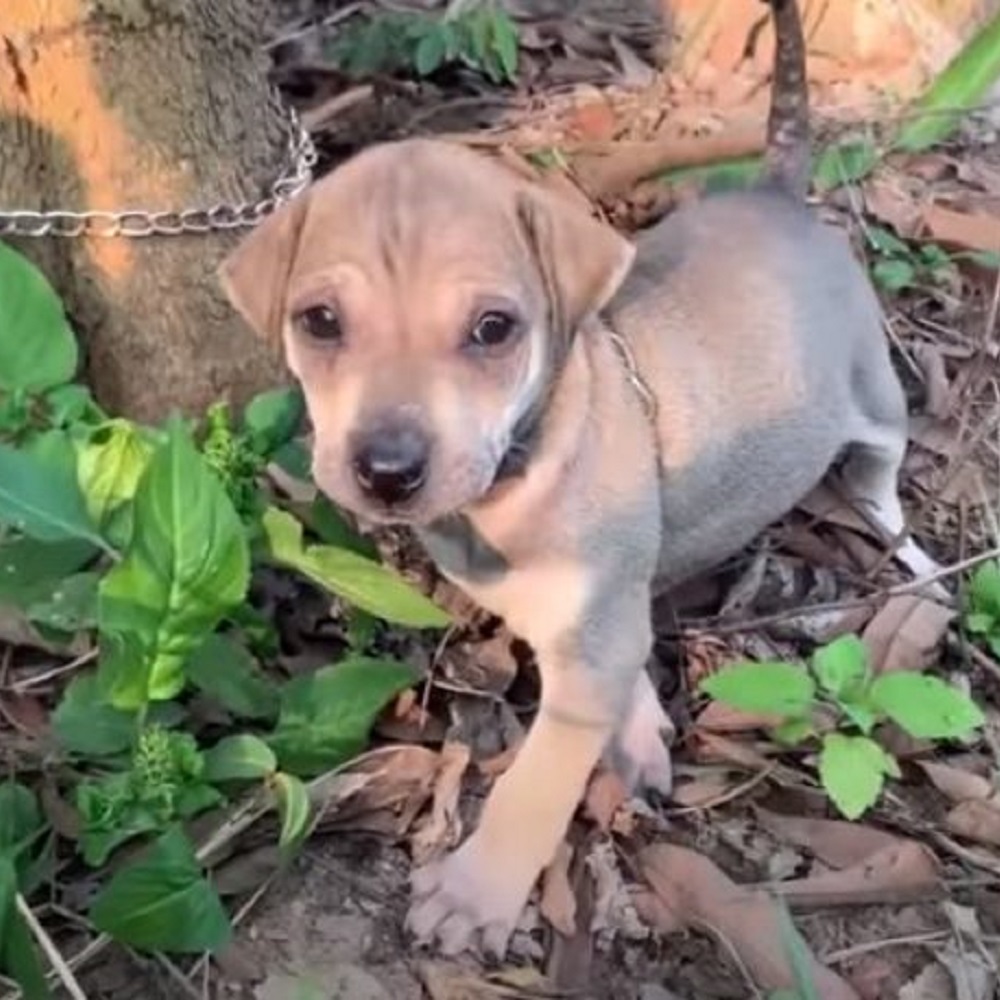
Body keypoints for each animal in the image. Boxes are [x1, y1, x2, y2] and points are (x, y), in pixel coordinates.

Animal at [219, 0, 936, 956]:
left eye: (494, 328)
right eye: (320, 321)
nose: (387, 471)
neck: (515, 475)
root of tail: (779, 195)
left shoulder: (587, 640)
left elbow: (535, 782)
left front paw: (476, 894)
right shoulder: (596, 616)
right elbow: (621, 650)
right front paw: (641, 728)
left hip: (874, 393)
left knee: (880, 477)